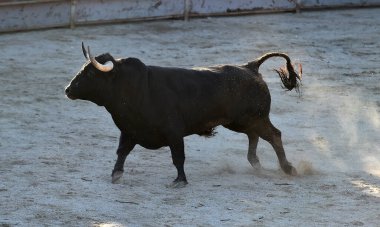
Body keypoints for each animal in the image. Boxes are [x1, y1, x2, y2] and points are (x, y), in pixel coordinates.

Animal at [66, 44, 302, 186]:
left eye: (90, 73)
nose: (67, 89)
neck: (135, 88)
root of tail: (250, 67)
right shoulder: (130, 130)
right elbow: (122, 152)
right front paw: (116, 175)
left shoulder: (173, 132)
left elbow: (178, 157)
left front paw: (180, 180)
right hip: (241, 122)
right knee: (254, 136)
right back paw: (256, 164)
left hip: (256, 118)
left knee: (274, 135)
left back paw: (288, 168)